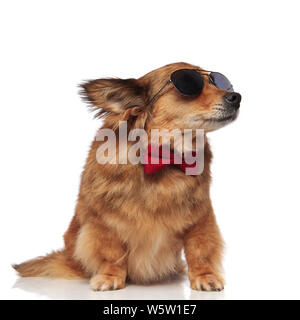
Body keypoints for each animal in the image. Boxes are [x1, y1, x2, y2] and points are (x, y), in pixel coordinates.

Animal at [13, 62, 241, 290]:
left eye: (218, 83)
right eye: (189, 84)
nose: (236, 96)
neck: (163, 157)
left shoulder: (200, 217)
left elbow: (199, 249)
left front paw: (204, 276)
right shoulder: (104, 220)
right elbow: (112, 252)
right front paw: (110, 276)